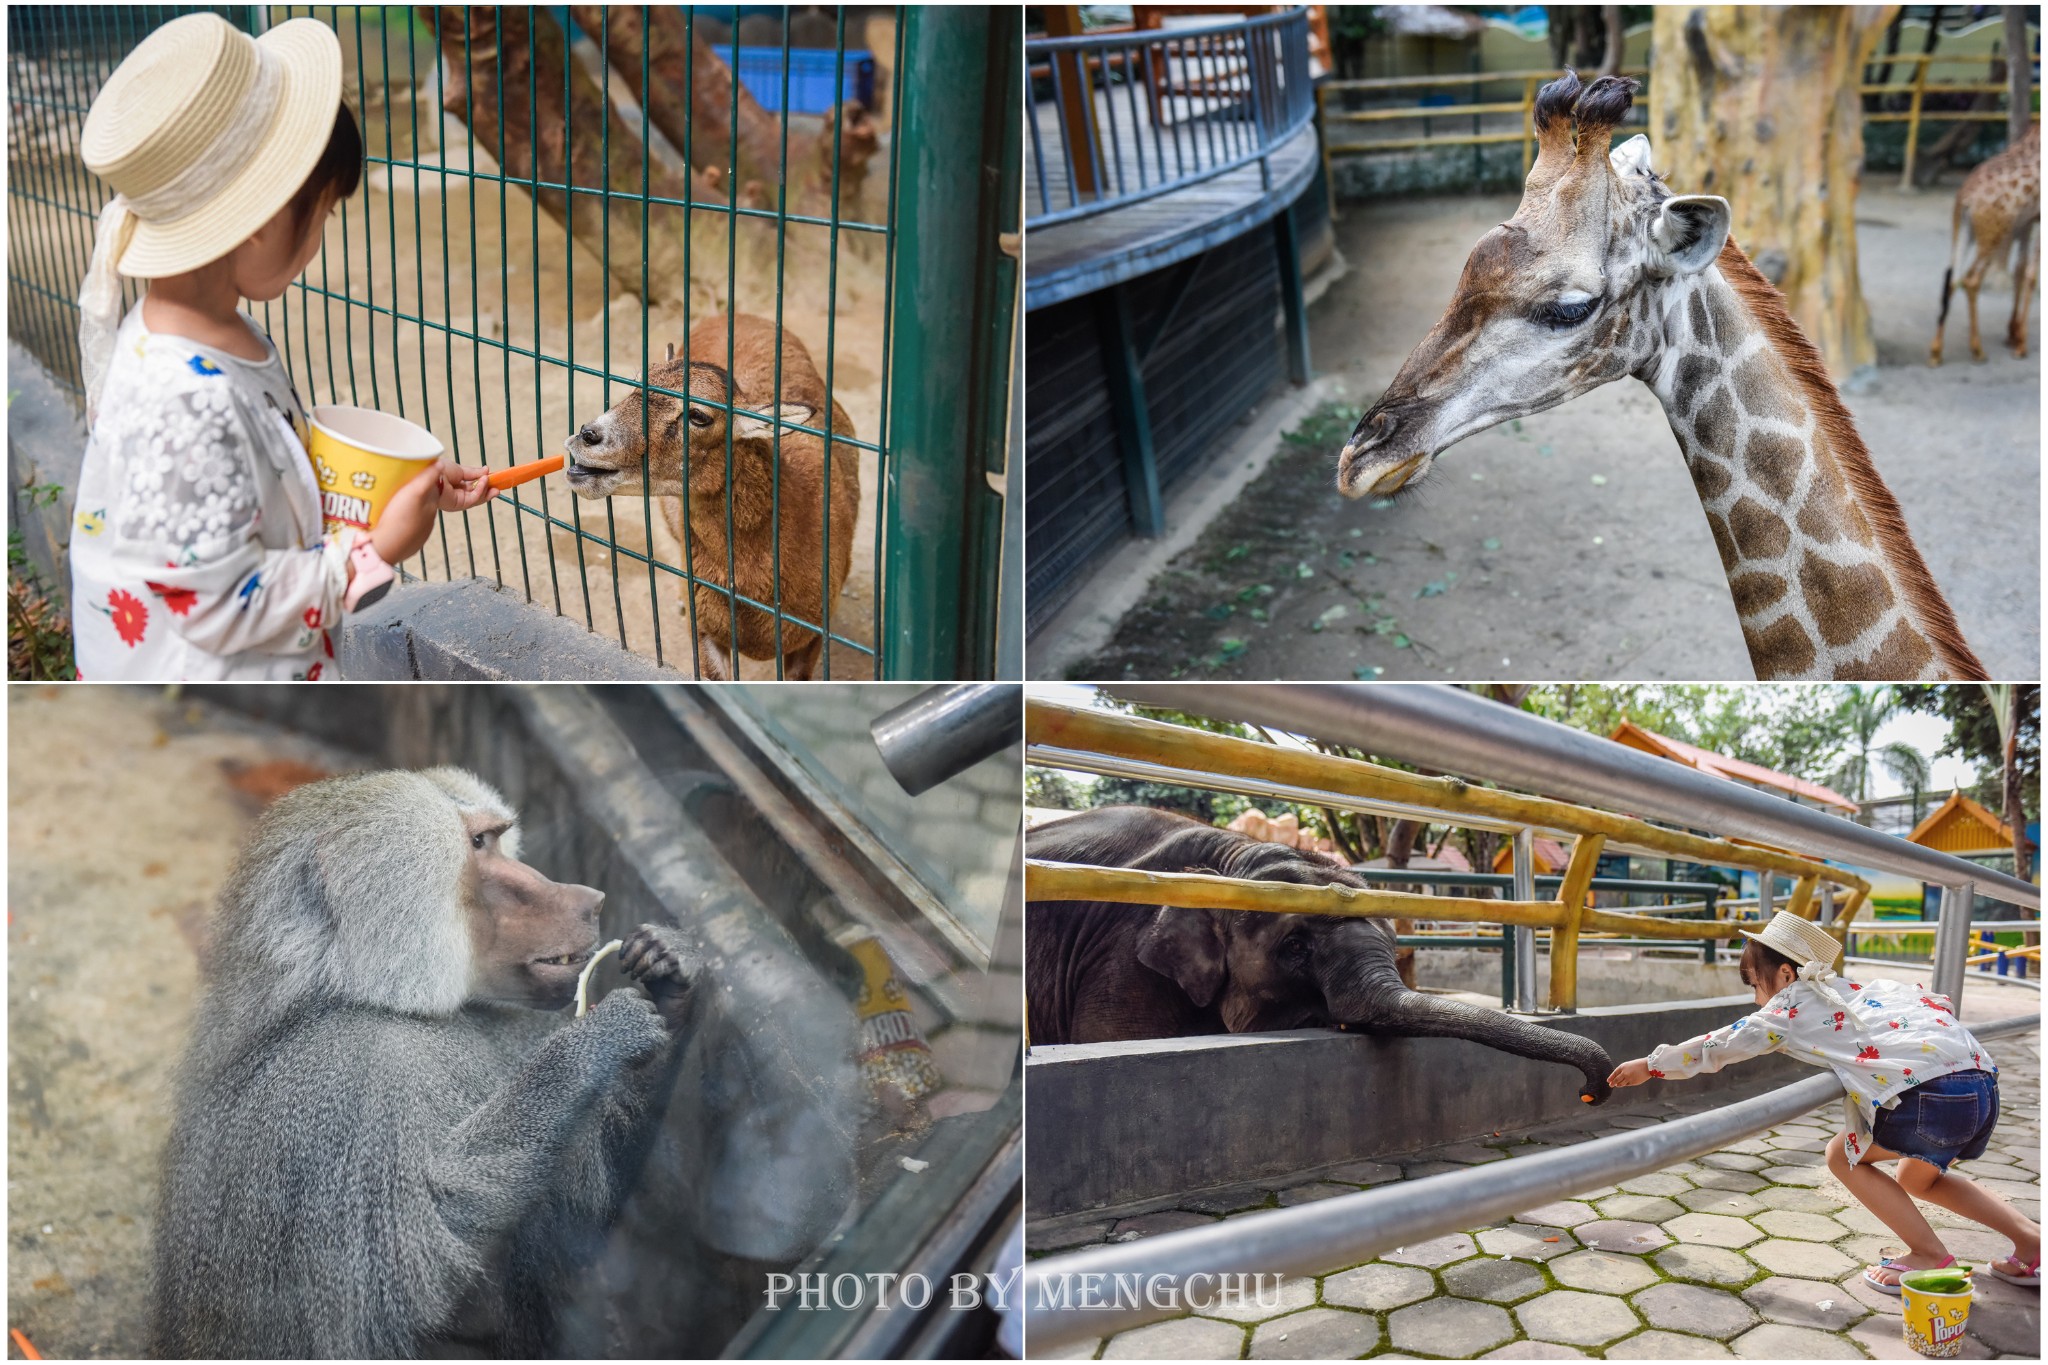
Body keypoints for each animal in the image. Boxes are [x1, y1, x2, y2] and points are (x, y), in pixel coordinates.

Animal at [1925, 120, 2039, 366]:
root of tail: (1964, 199)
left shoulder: (2026, 221)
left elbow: (2020, 269)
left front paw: (2013, 334)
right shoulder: (2037, 218)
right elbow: (2031, 274)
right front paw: (2021, 344)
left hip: (1967, 231)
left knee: (1952, 279)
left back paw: (1936, 352)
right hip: (1993, 234)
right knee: (1971, 279)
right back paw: (1977, 350)